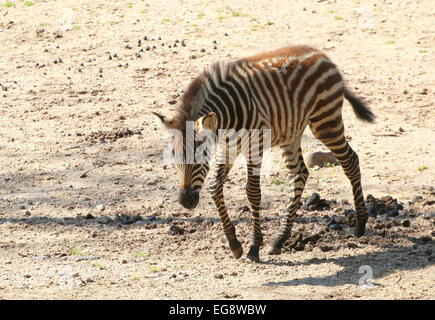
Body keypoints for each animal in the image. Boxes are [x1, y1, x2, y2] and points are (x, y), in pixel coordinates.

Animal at [155, 45, 376, 262]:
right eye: (173, 157)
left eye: (200, 155)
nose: (186, 202)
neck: (225, 117)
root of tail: (323, 55)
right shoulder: (227, 148)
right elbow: (214, 187)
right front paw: (234, 244)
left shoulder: (255, 145)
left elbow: (253, 192)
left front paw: (254, 246)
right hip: (291, 132)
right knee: (300, 173)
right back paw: (279, 239)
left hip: (325, 122)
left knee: (350, 161)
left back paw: (360, 223)